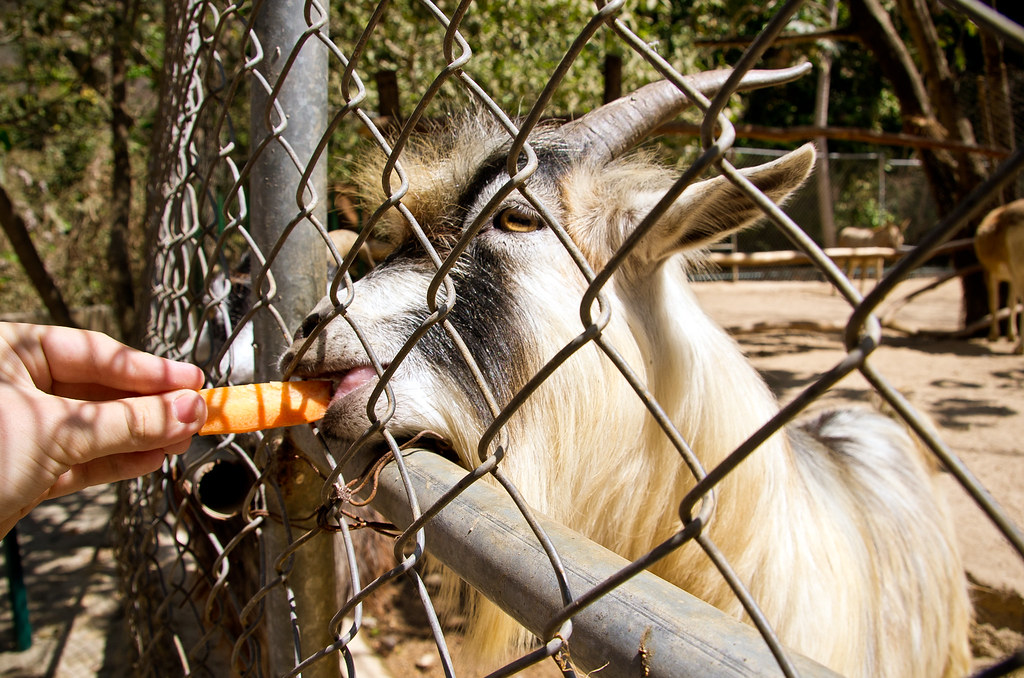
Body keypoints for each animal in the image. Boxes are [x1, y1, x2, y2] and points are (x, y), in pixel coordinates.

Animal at [975, 198, 1024, 354]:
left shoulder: (989, 270)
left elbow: (994, 302)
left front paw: (993, 335)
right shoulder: (1011, 275)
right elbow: (1011, 303)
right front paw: (1010, 335)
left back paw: (1019, 348)